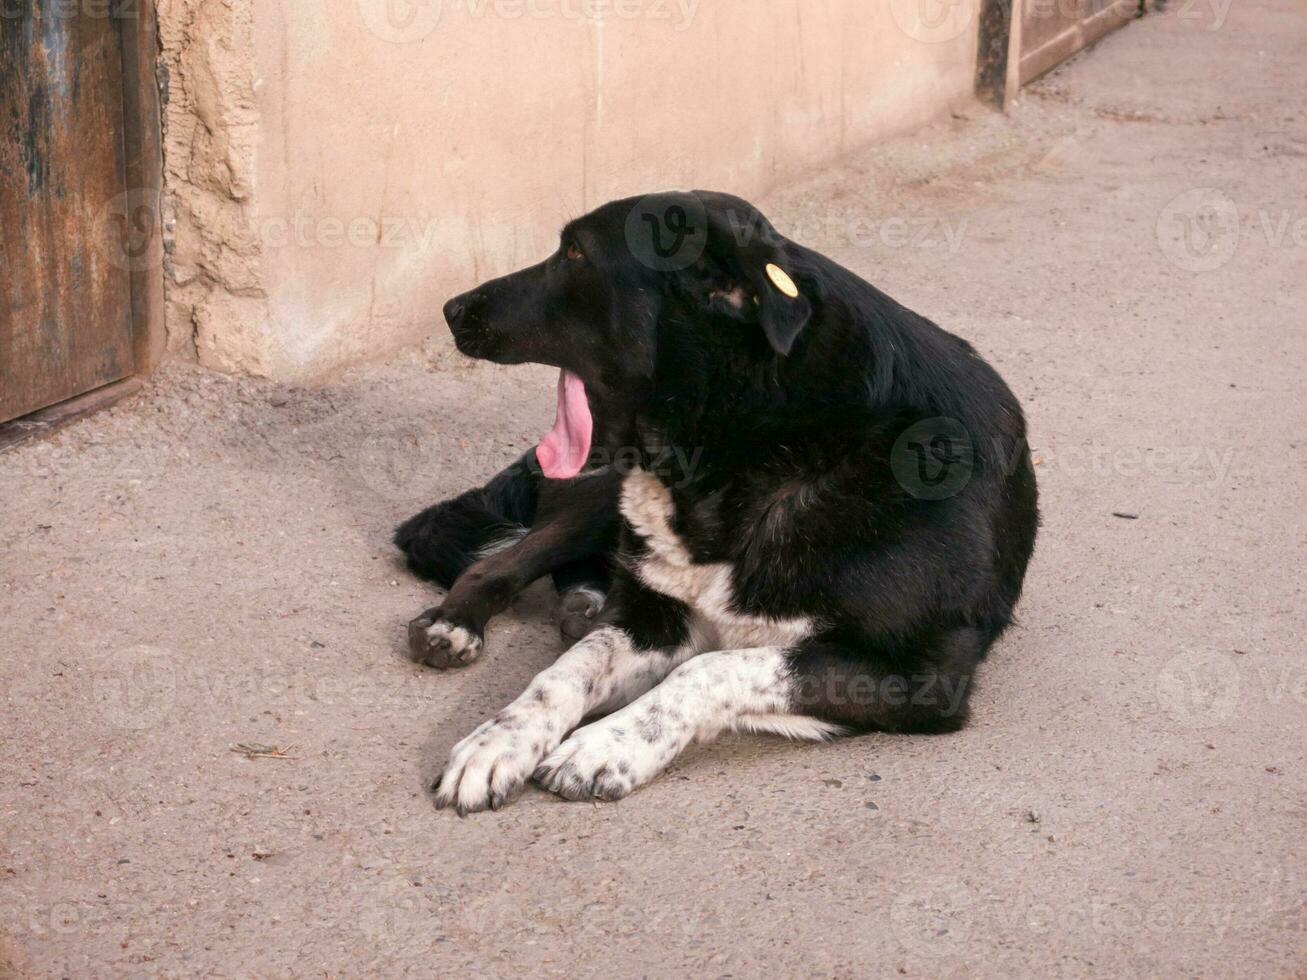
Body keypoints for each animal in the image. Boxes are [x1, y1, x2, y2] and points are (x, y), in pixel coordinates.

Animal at [402, 192, 1035, 815]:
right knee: (504, 559)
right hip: (598, 495)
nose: (452, 308)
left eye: (576, 253)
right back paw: (457, 624)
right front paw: (499, 740)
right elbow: (566, 672)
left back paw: (583, 603)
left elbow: (710, 668)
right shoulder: (653, 621)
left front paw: (606, 744)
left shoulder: (920, 675)